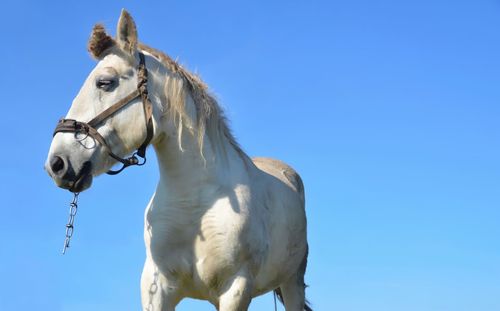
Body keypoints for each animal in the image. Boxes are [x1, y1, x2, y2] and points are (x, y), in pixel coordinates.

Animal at [47, 9, 312, 311]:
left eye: (105, 82)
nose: (57, 163)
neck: (193, 203)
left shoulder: (236, 288)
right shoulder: (156, 289)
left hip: (292, 282)